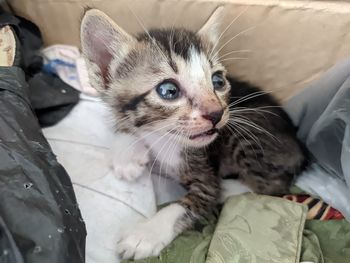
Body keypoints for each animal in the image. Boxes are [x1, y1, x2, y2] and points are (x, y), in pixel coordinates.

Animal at [80, 7, 308, 260]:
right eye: (168, 90)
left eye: (217, 81)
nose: (217, 113)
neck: (164, 139)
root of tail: (298, 143)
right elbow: (125, 125)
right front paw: (127, 157)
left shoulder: (206, 177)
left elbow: (185, 205)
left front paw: (145, 235)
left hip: (247, 130)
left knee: (272, 185)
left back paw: (230, 190)